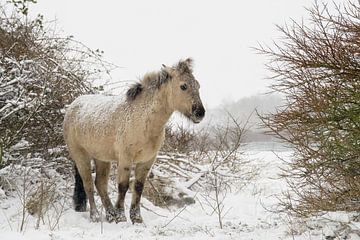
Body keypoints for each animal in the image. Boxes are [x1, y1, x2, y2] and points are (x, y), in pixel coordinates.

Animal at [62, 58, 205, 223]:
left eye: (198, 86)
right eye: (183, 86)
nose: (200, 113)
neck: (142, 118)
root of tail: (72, 107)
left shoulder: (147, 161)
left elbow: (138, 187)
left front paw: (136, 218)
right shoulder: (125, 158)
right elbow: (123, 186)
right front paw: (121, 217)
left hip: (102, 158)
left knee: (100, 184)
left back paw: (110, 214)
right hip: (81, 156)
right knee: (89, 184)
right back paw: (96, 216)